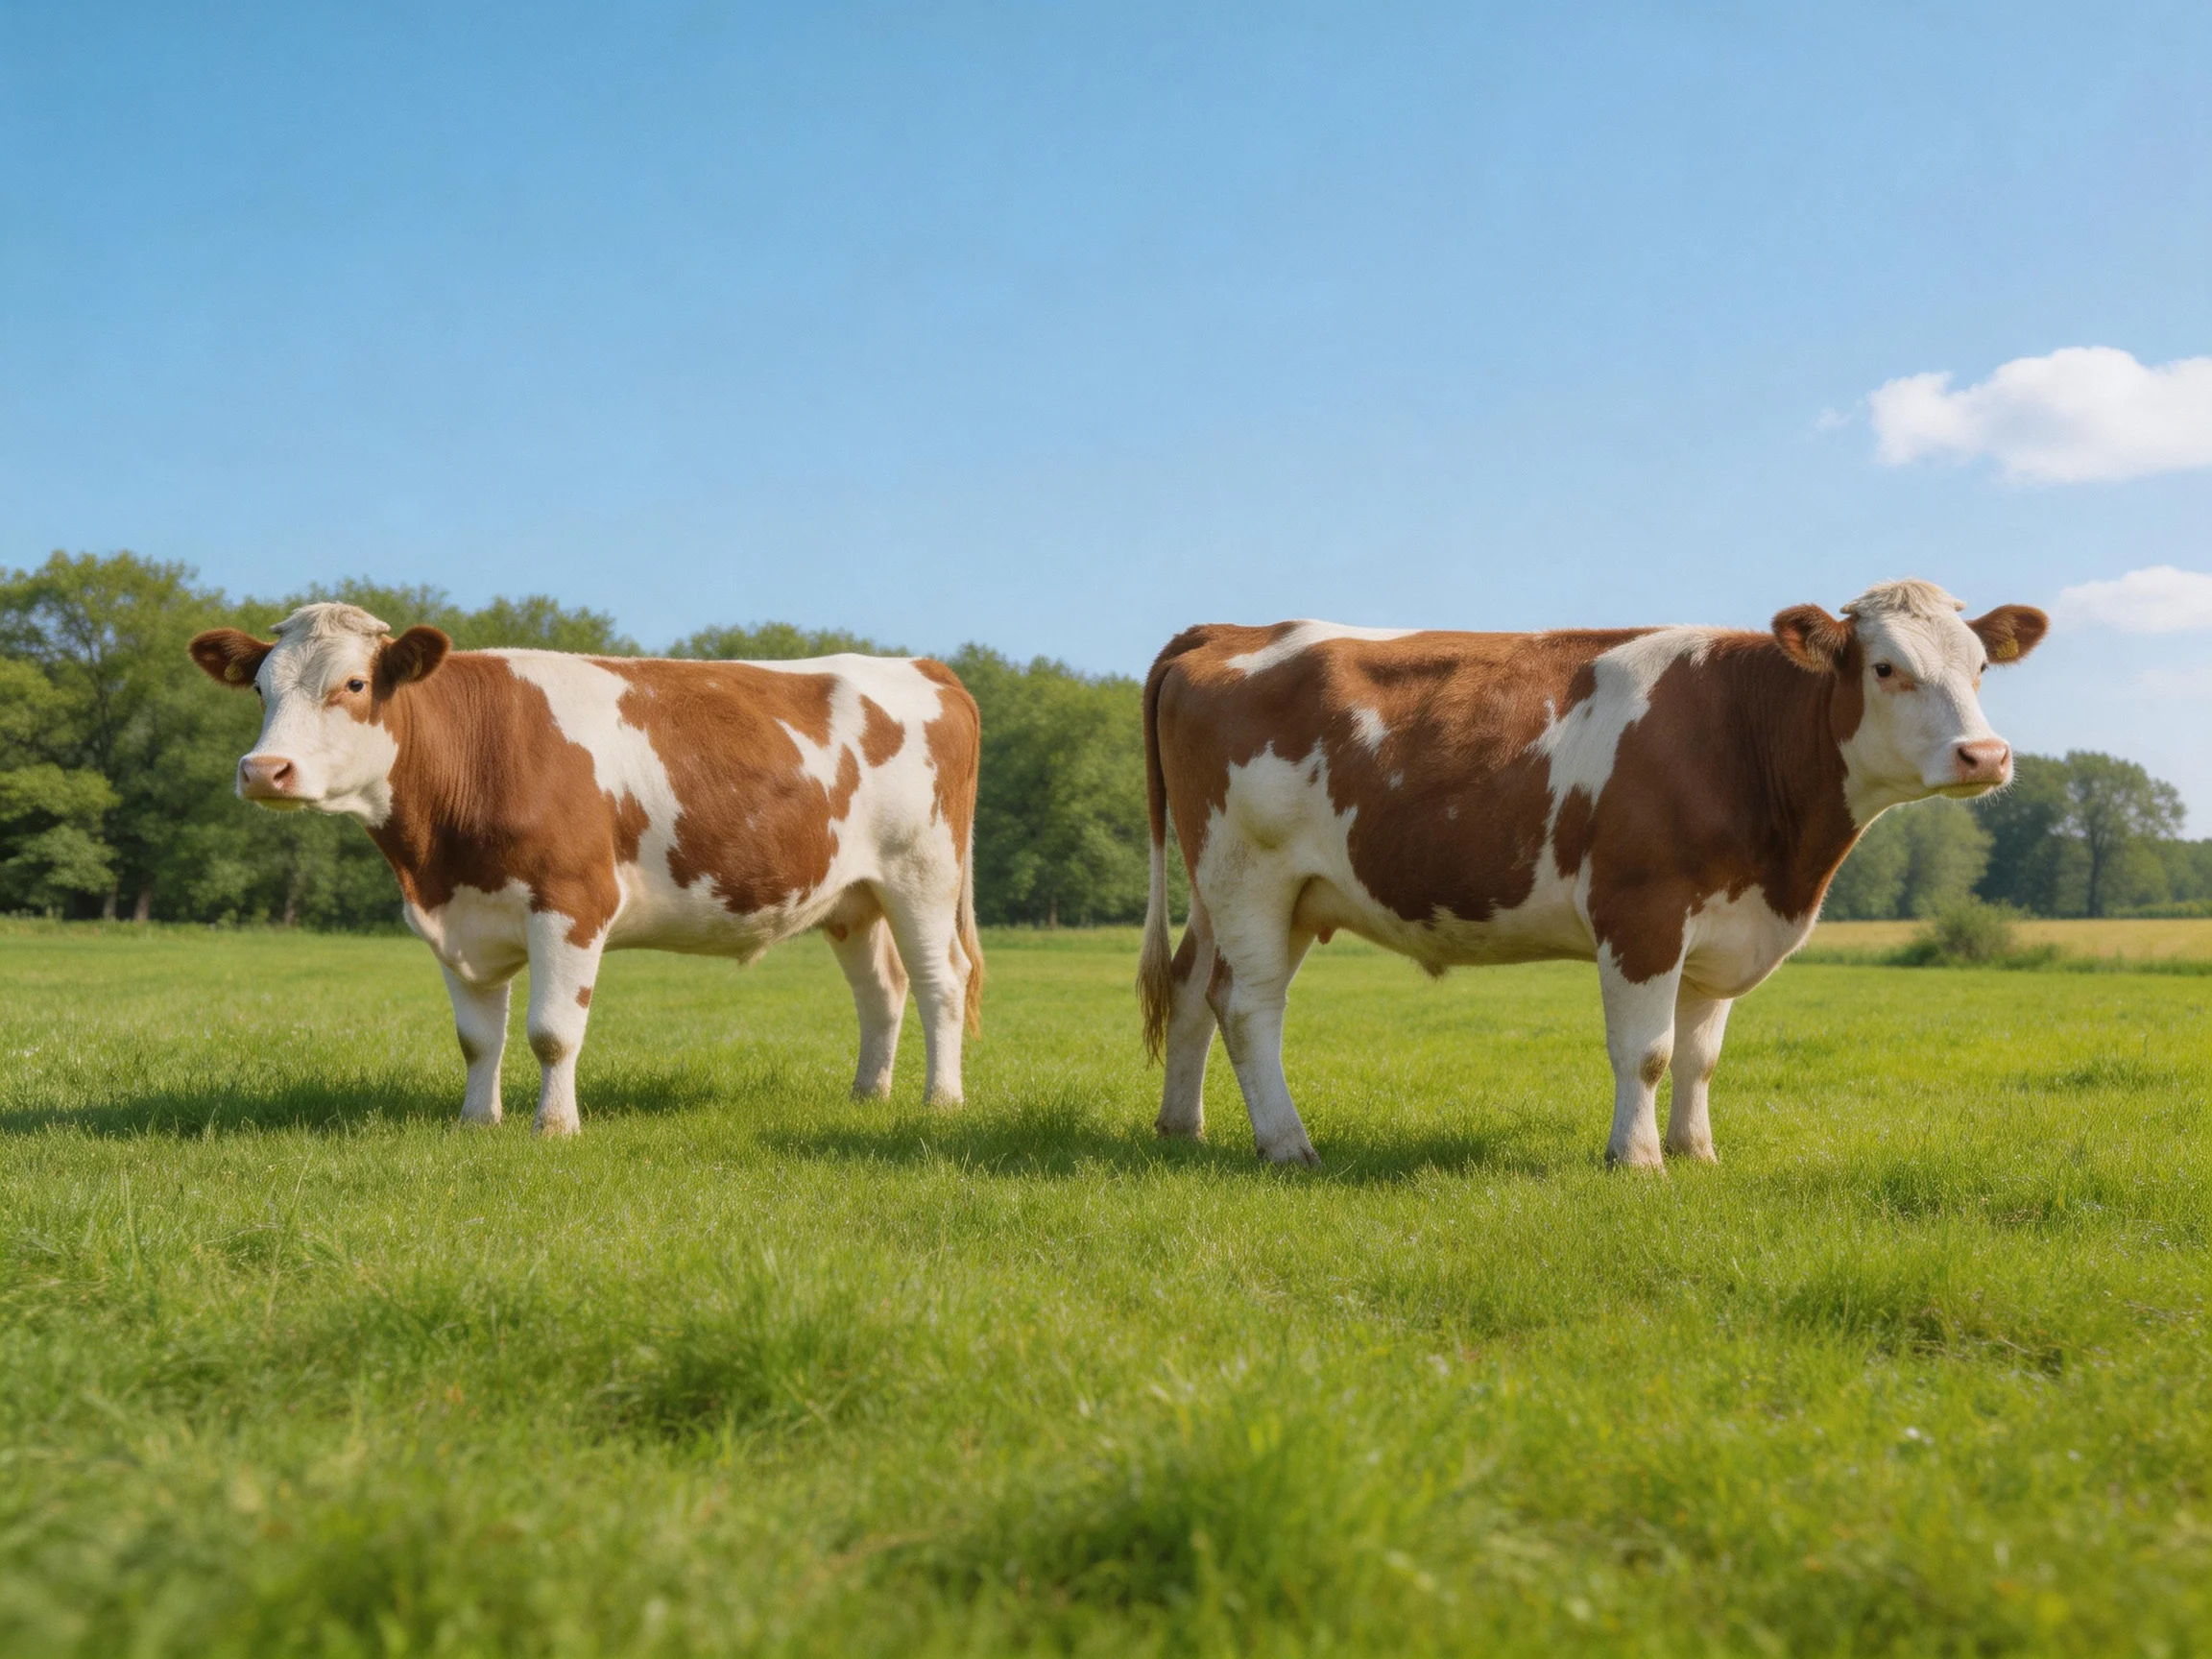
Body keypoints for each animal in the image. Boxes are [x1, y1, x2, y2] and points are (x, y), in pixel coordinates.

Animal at [190, 603, 982, 1134]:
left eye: (353, 685)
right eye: (260, 689)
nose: (264, 770)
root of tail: (923, 666)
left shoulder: (571, 903)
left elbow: (551, 1031)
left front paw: (554, 1127)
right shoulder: (458, 918)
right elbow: (477, 1038)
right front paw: (477, 1123)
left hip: (922, 875)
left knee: (941, 982)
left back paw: (941, 1099)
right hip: (853, 897)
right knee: (881, 991)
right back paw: (867, 1094)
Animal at [1136, 580, 2046, 1169]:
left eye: (1981, 668)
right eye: (1885, 668)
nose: (1984, 755)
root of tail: (1227, 631)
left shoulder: (1724, 925)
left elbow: (1700, 1055)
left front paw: (1697, 1151)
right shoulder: (1642, 910)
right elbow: (1646, 1050)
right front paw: (1637, 1159)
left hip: (1252, 892)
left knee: (1192, 989)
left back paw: (1183, 1127)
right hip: (1249, 875)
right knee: (1248, 1006)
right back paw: (1288, 1145)